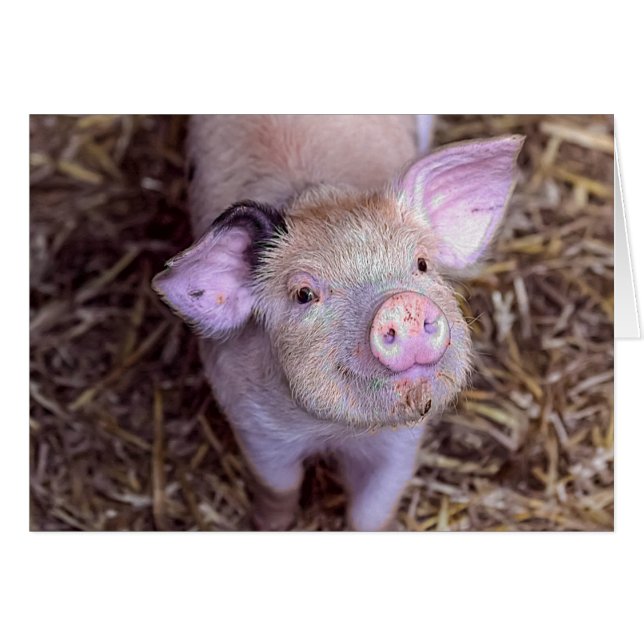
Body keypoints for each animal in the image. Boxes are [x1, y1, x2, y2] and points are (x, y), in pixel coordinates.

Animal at [152, 115, 524, 531]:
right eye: (303, 294)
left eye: (422, 264)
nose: (402, 304)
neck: (333, 431)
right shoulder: (254, 427)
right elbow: (278, 490)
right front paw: (271, 524)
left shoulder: (403, 441)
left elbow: (371, 513)